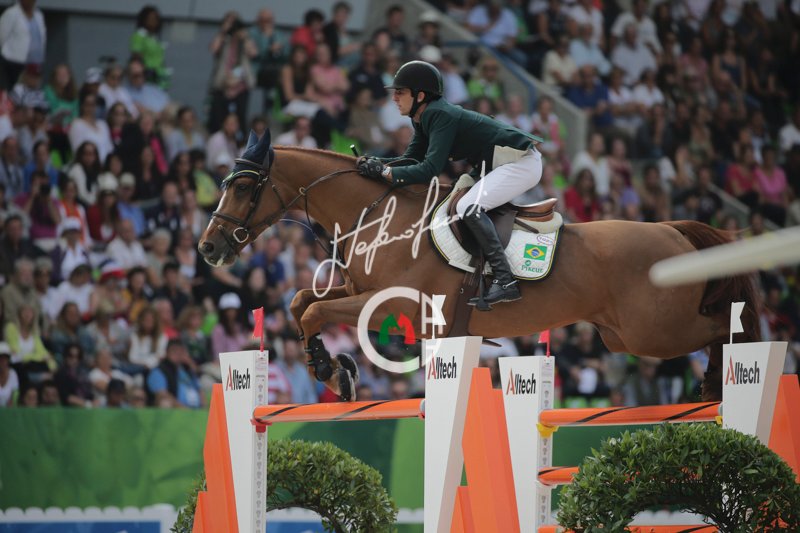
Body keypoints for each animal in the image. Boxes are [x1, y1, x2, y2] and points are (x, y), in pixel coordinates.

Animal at [198, 130, 760, 401]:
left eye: (243, 186)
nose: (207, 248)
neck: (375, 214)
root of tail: (672, 230)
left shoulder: (397, 306)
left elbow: (313, 311)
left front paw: (332, 373)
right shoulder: (363, 296)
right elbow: (302, 302)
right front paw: (333, 371)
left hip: (653, 331)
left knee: (723, 324)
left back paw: (726, 377)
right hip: (622, 337)